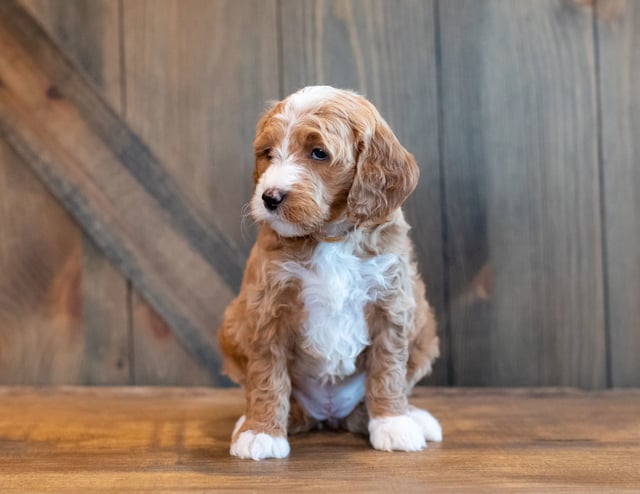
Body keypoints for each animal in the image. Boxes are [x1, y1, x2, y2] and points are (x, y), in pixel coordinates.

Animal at [218, 85, 442, 460]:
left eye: (319, 153)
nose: (269, 197)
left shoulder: (391, 301)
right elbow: (266, 373)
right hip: (233, 324)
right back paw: (252, 421)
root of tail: (329, 415)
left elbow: (388, 368)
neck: (330, 234)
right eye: (267, 153)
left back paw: (411, 416)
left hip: (423, 326)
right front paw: (261, 431)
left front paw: (393, 423)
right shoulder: (268, 304)